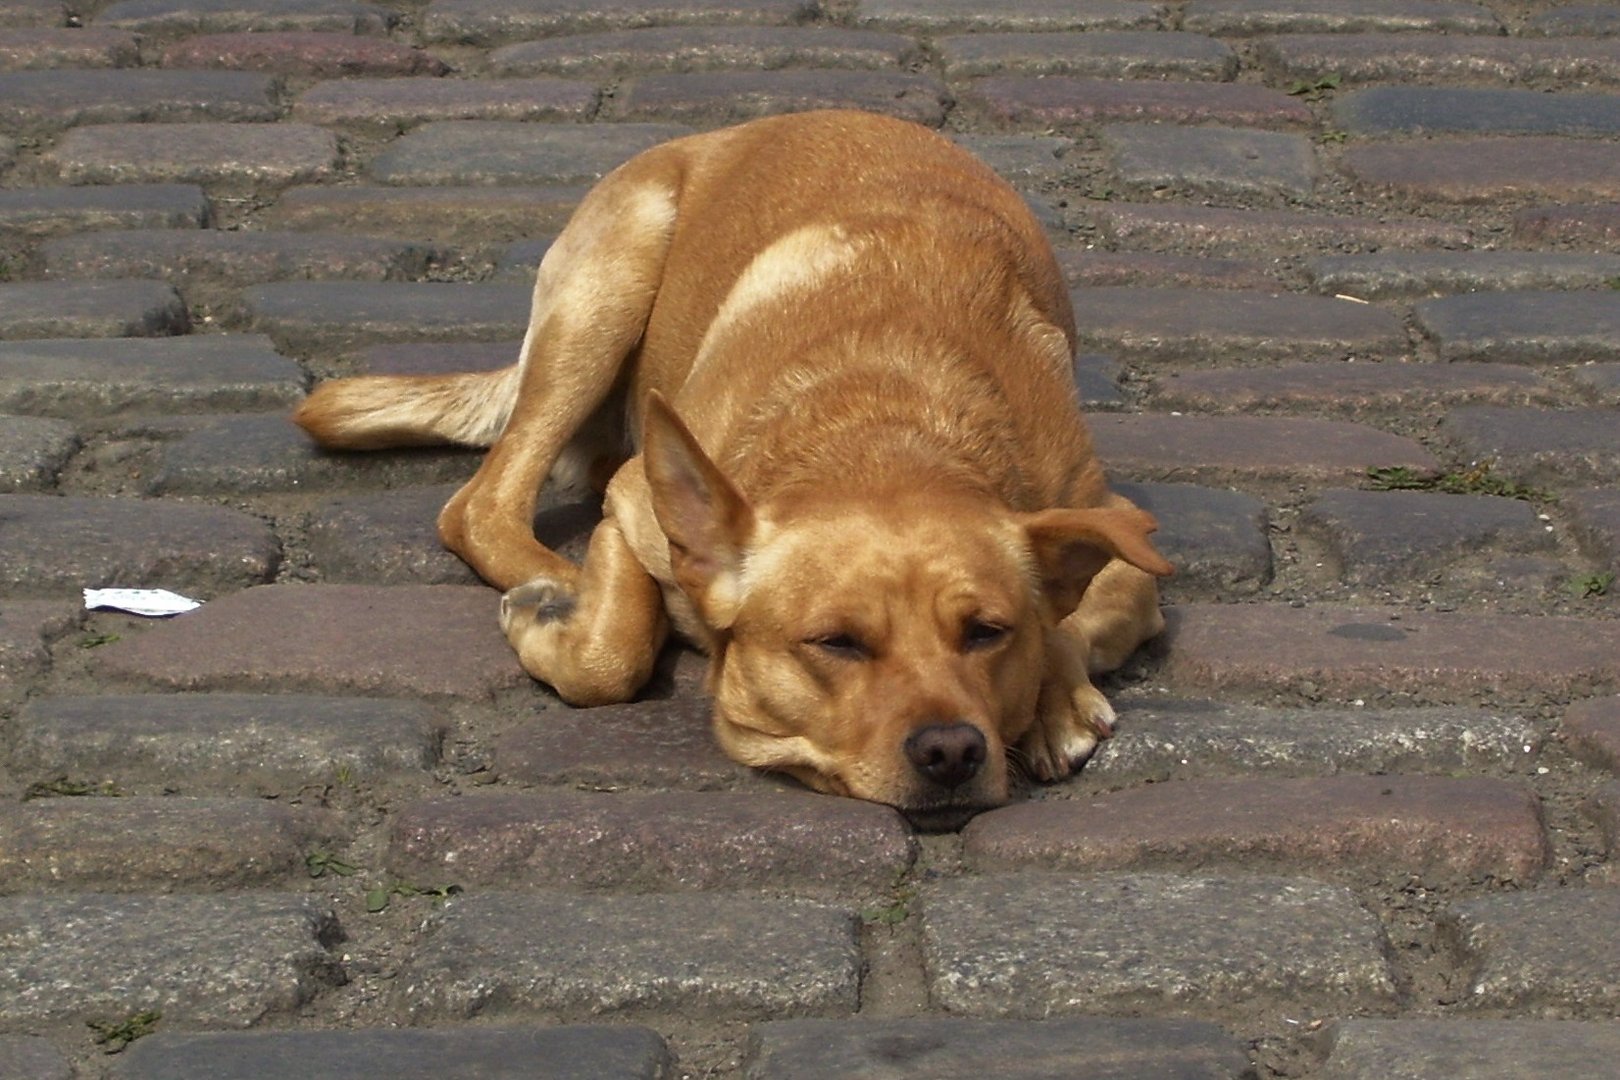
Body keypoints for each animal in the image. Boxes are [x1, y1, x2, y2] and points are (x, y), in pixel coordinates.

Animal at [298, 110, 1172, 835]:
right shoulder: (635, 507)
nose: (952, 750)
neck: (886, 425)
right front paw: (572, 619)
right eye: (836, 643)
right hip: (605, 289)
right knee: (483, 503)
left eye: (988, 633)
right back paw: (555, 580)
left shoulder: (1118, 533)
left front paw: (1054, 697)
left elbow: (1081, 611)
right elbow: (611, 653)